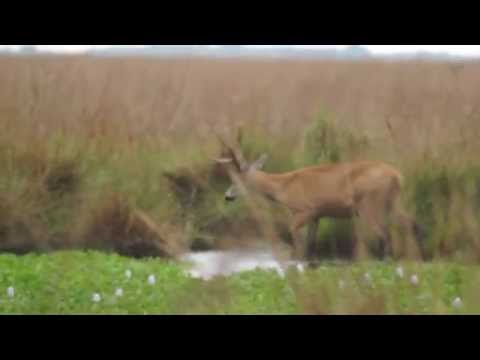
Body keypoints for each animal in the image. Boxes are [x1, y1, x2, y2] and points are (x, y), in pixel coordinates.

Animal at [214, 135, 424, 262]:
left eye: (237, 179)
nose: (227, 196)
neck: (283, 187)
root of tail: (398, 176)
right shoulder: (318, 215)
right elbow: (311, 243)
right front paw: (309, 263)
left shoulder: (306, 209)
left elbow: (293, 231)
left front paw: (297, 260)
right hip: (392, 201)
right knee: (411, 223)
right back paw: (417, 257)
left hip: (369, 203)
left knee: (385, 233)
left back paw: (385, 261)